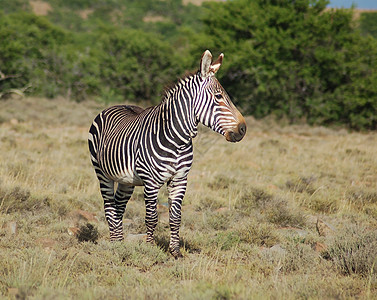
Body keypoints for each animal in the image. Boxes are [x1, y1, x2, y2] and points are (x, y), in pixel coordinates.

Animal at [88, 49, 247, 258]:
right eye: (219, 97)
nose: (243, 129)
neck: (177, 140)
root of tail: (116, 105)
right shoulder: (150, 182)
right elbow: (152, 217)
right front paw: (149, 248)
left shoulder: (180, 180)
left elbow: (175, 217)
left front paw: (175, 251)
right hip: (102, 173)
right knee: (109, 208)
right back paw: (115, 246)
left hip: (126, 180)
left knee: (119, 207)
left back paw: (120, 243)